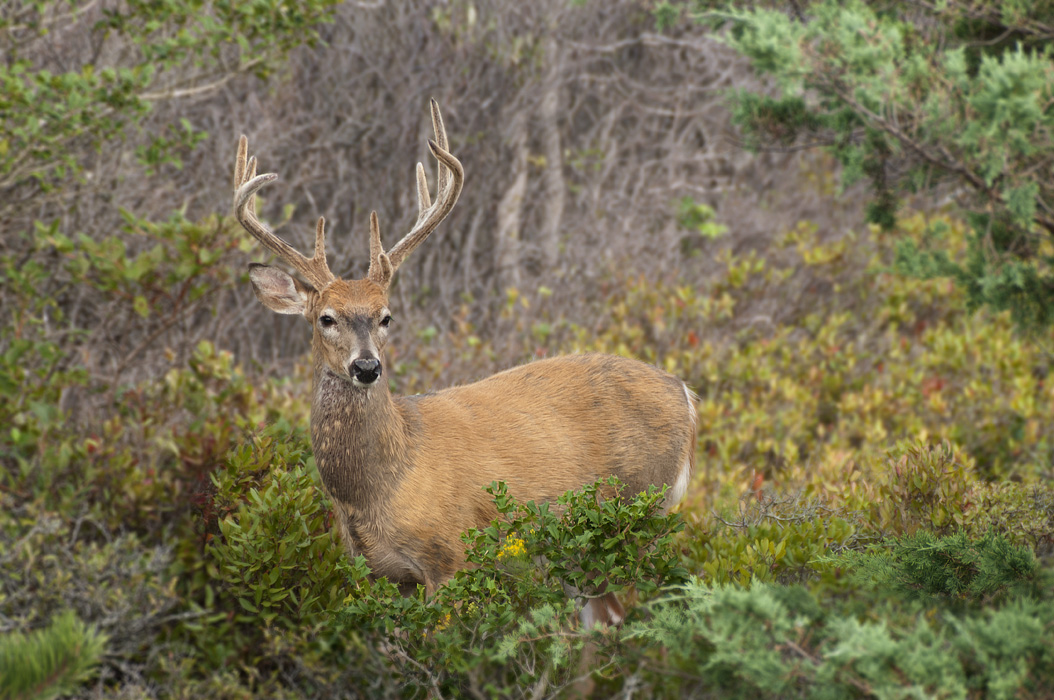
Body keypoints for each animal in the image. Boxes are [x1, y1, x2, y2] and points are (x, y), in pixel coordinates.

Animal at [235, 99, 699, 628]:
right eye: (325, 318)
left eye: (386, 316)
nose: (367, 368)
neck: (380, 487)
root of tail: (686, 394)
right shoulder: (380, 574)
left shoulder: (452, 557)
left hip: (633, 514)